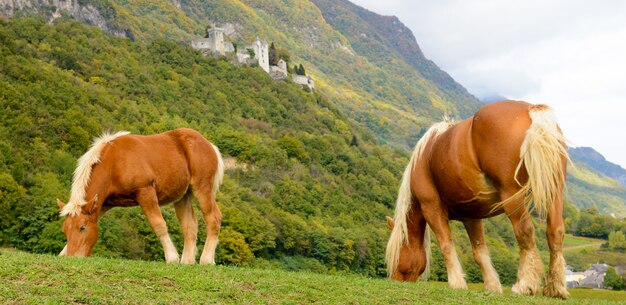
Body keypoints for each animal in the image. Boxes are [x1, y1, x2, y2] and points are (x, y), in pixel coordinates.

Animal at [56, 127, 224, 262]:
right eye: (64, 230)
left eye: (82, 228)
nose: (73, 257)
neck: (115, 162)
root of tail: (208, 144)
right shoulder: (103, 203)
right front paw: (62, 253)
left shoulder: (145, 192)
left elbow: (158, 224)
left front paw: (171, 258)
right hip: (183, 196)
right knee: (190, 226)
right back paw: (187, 261)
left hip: (202, 189)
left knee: (213, 218)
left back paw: (206, 260)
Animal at [382, 100, 568, 296]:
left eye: (395, 256)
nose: (395, 280)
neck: (425, 157)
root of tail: (531, 109)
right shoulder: (472, 216)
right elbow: (479, 252)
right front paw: (492, 286)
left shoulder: (431, 208)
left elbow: (446, 244)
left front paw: (456, 283)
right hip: (554, 193)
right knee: (555, 231)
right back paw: (556, 288)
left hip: (512, 196)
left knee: (525, 232)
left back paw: (525, 284)